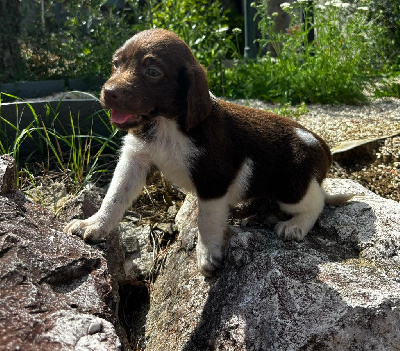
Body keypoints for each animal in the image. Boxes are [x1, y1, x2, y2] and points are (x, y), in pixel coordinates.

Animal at [64, 28, 352, 278]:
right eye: (116, 64)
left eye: (153, 72)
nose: (109, 93)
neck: (168, 124)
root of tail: (321, 144)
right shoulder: (134, 158)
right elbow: (114, 197)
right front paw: (95, 224)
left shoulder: (213, 179)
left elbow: (207, 220)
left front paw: (207, 255)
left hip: (291, 186)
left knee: (317, 201)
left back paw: (296, 225)